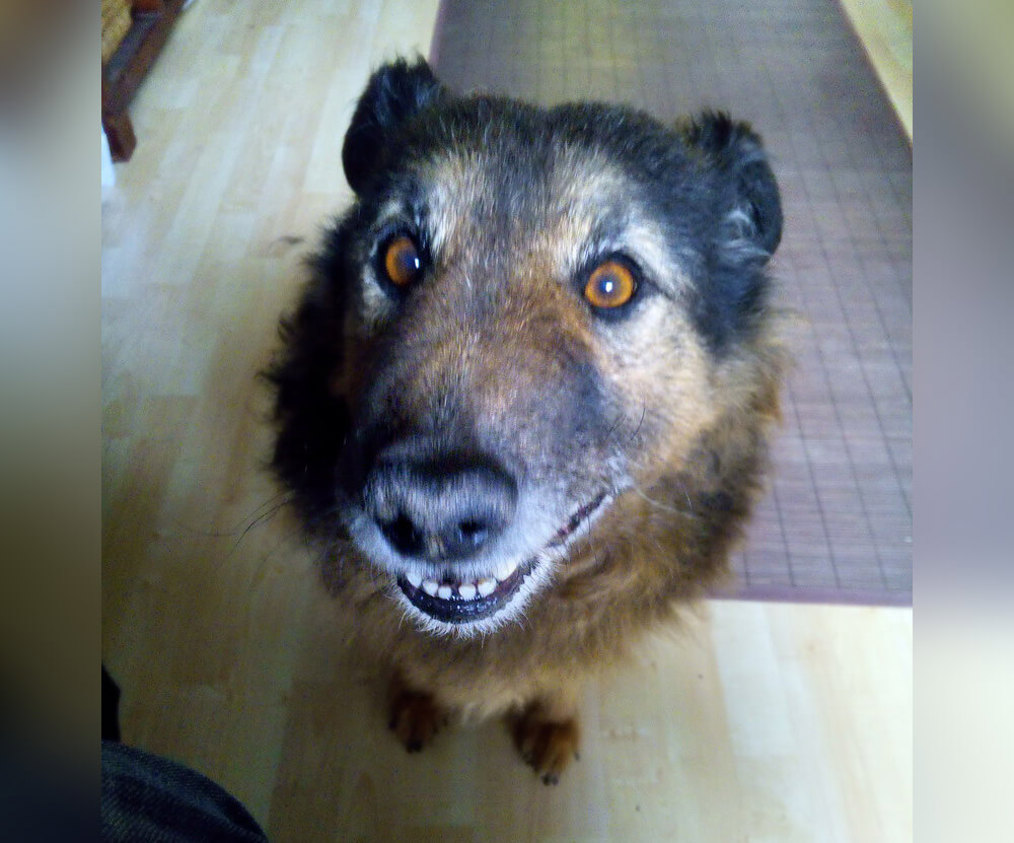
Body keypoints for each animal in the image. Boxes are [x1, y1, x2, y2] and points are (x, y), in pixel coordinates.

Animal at [268, 57, 785, 783]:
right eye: (400, 257)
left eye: (612, 284)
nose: (429, 514)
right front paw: (420, 697)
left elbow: (561, 673)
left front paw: (552, 720)